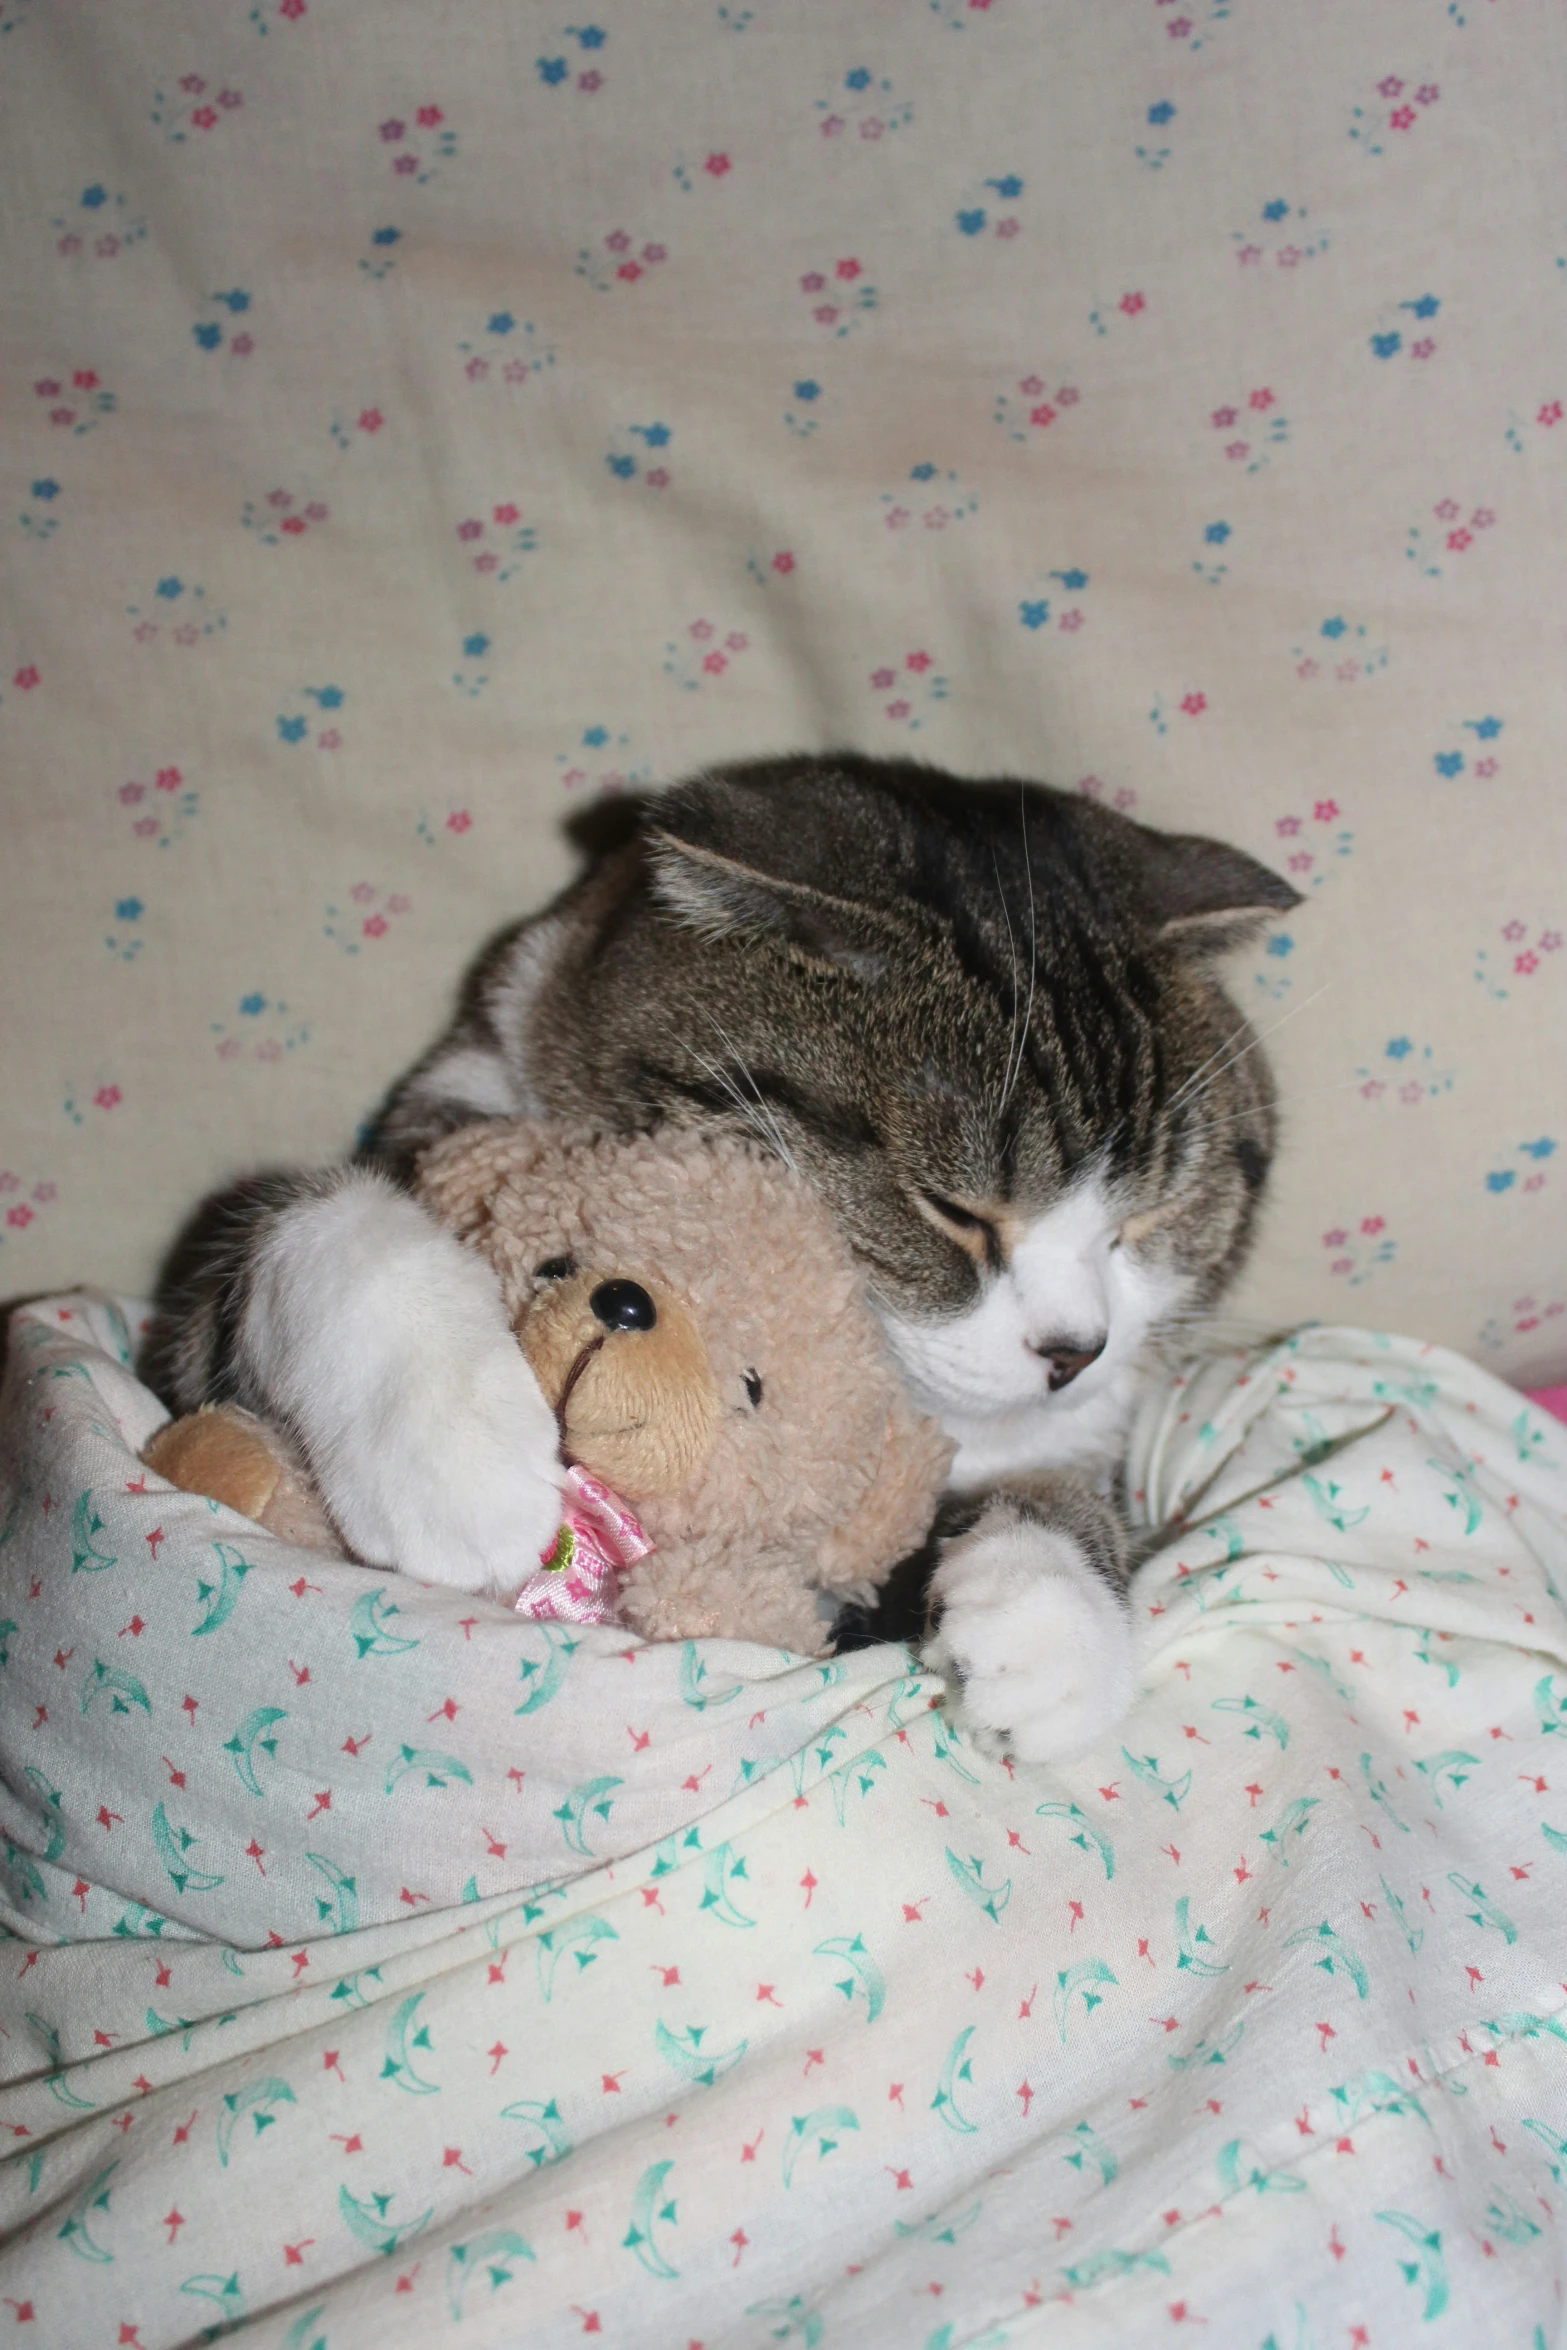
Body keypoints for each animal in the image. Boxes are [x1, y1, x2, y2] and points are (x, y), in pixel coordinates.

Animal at [146, 752, 1296, 1767]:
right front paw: (450, 1457)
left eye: (1152, 1214)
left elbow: (1058, 1483)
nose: (1072, 1351)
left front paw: (1049, 1613)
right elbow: (311, 1222)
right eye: (954, 1211)